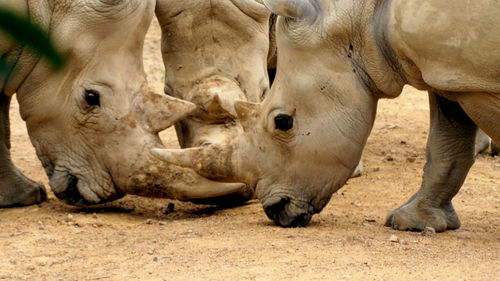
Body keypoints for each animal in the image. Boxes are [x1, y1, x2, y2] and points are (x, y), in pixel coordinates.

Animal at [152, 0, 500, 228]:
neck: (358, 18)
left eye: (283, 122)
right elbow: (446, 145)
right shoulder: (447, 69)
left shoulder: (468, 74)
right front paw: (412, 222)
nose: (275, 211)